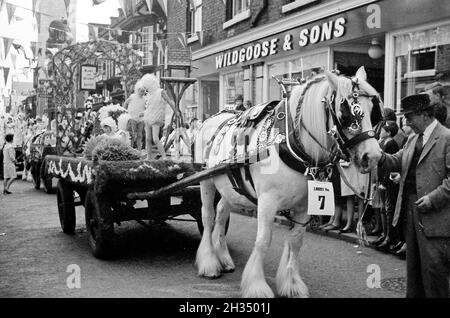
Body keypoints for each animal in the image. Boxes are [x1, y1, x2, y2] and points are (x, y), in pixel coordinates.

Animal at [192, 67, 384, 298]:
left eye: (373, 111)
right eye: (346, 112)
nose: (372, 156)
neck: (291, 144)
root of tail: (212, 118)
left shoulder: (305, 205)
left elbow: (296, 241)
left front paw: (291, 283)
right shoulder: (267, 201)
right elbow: (263, 241)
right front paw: (256, 285)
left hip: (230, 187)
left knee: (221, 214)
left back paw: (223, 257)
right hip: (206, 182)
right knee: (208, 217)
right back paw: (209, 262)